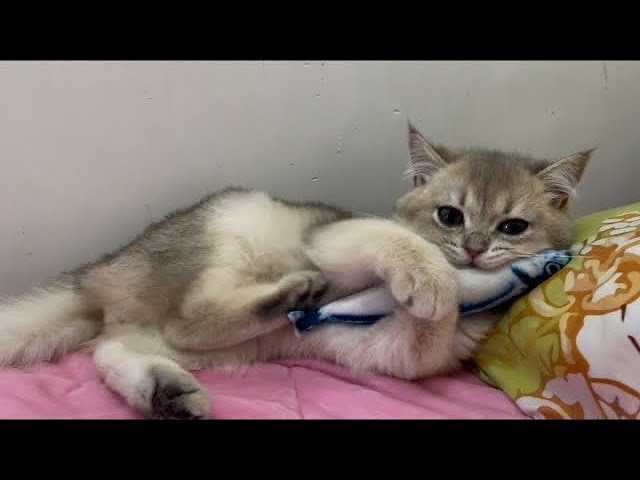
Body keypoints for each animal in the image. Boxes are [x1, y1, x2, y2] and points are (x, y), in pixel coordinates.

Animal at [0, 125, 592, 418]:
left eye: (513, 227)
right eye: (450, 216)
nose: (471, 249)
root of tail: (100, 273)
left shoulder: (392, 351)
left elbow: (424, 334)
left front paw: (435, 297)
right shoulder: (334, 237)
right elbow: (398, 242)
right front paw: (431, 281)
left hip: (207, 347)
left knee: (117, 347)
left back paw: (167, 393)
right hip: (233, 219)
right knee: (190, 317)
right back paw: (292, 292)